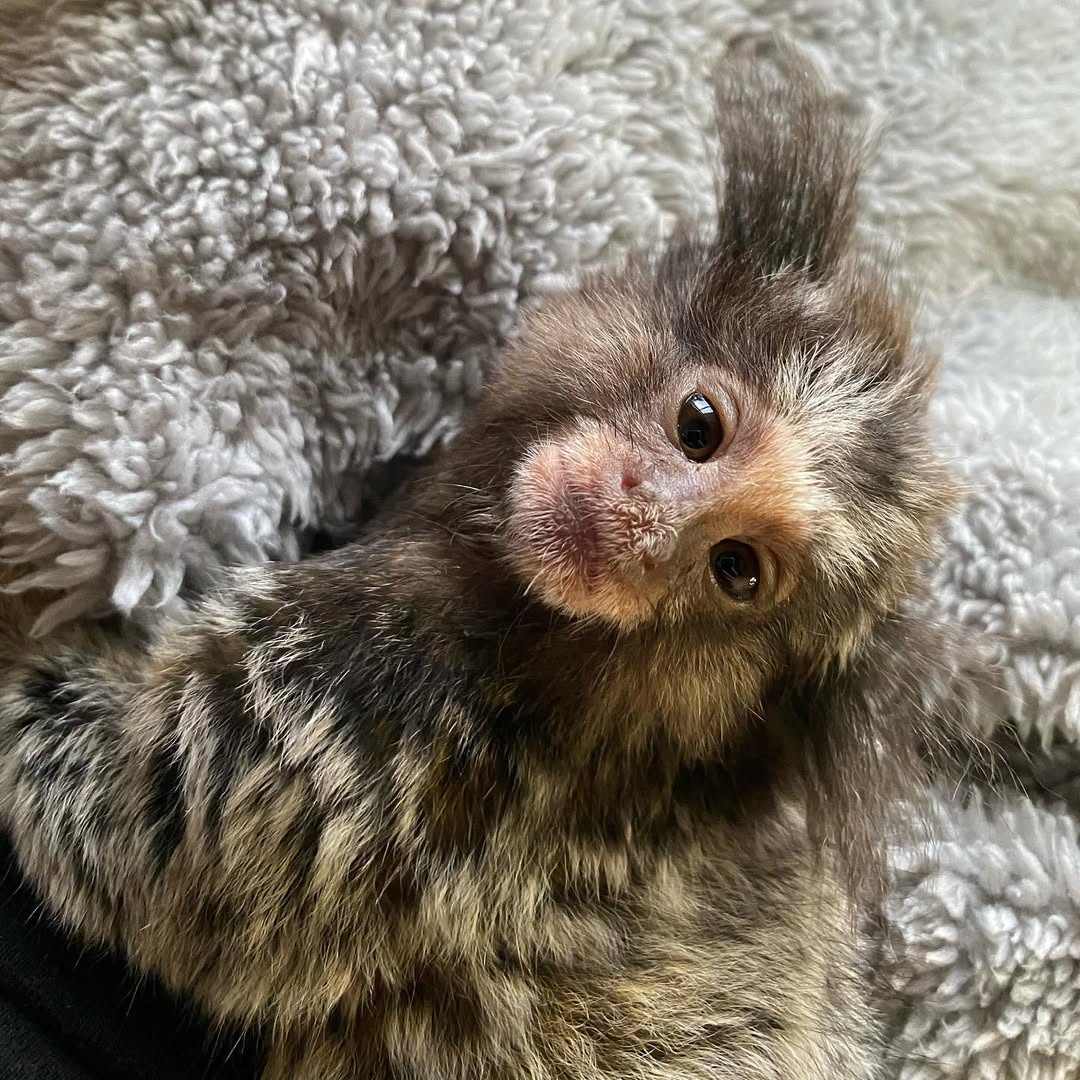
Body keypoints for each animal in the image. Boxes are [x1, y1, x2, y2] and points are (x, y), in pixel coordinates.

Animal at [0, 46, 985, 1080]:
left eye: (735, 570)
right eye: (700, 425)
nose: (639, 517)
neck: (534, 674)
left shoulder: (340, 720)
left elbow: (122, 833)